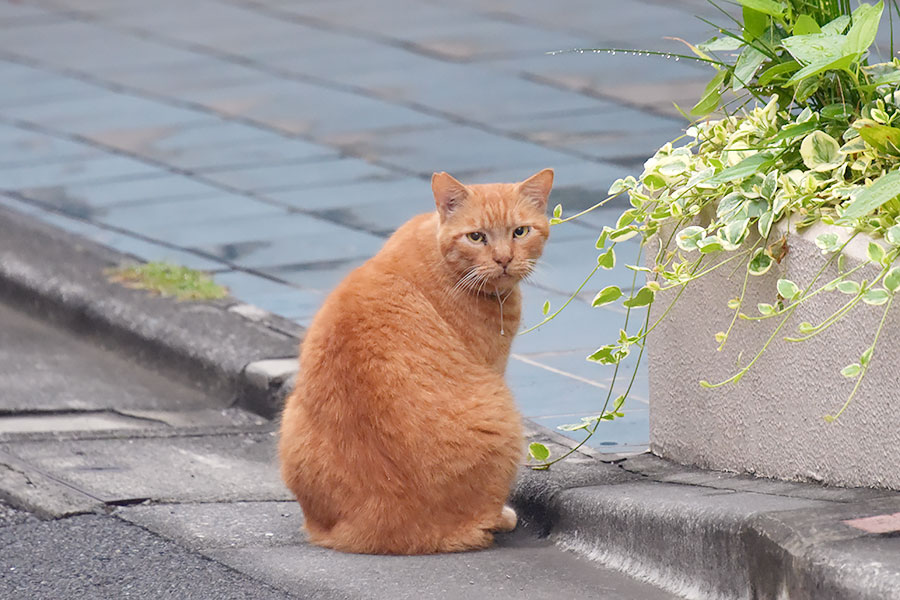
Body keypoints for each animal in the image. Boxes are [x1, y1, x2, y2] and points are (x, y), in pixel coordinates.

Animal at [278, 168, 552, 552]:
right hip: (504, 414)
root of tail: (383, 522)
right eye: (476, 237)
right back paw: (502, 517)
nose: (503, 259)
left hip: (289, 419)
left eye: (520, 232)